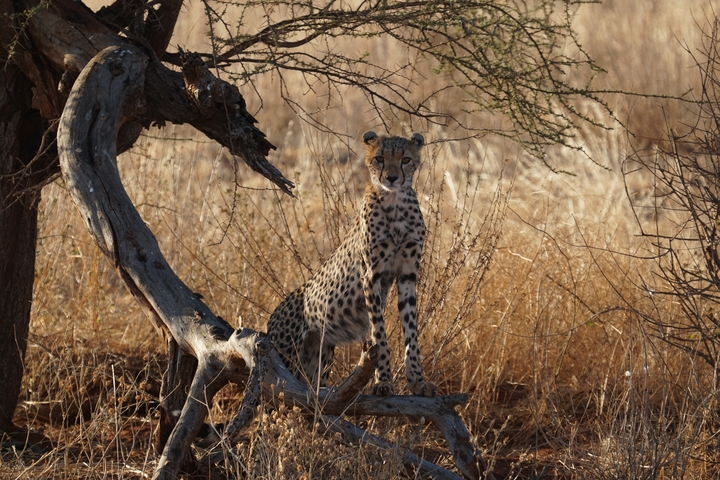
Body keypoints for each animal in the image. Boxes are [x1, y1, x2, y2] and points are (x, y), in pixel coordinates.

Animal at [267, 130, 437, 397]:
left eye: (406, 159)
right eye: (379, 158)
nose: (391, 178)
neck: (395, 201)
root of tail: (270, 319)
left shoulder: (408, 276)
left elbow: (411, 333)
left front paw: (417, 381)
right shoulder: (371, 276)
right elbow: (379, 334)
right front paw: (383, 382)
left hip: (318, 359)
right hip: (286, 359)